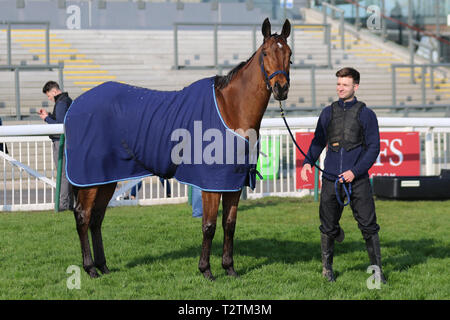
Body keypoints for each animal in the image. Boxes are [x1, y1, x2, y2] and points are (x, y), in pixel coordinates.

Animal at [71, 18, 292, 282]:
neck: (230, 109)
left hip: (107, 178)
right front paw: (206, 270)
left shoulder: (233, 182)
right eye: (266, 52)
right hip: (91, 178)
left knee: (96, 218)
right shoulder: (212, 183)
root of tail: (76, 104)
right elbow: (209, 226)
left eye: (289, 55)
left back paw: (103, 266)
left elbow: (229, 225)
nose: (281, 88)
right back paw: (90, 268)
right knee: (83, 216)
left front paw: (229, 268)